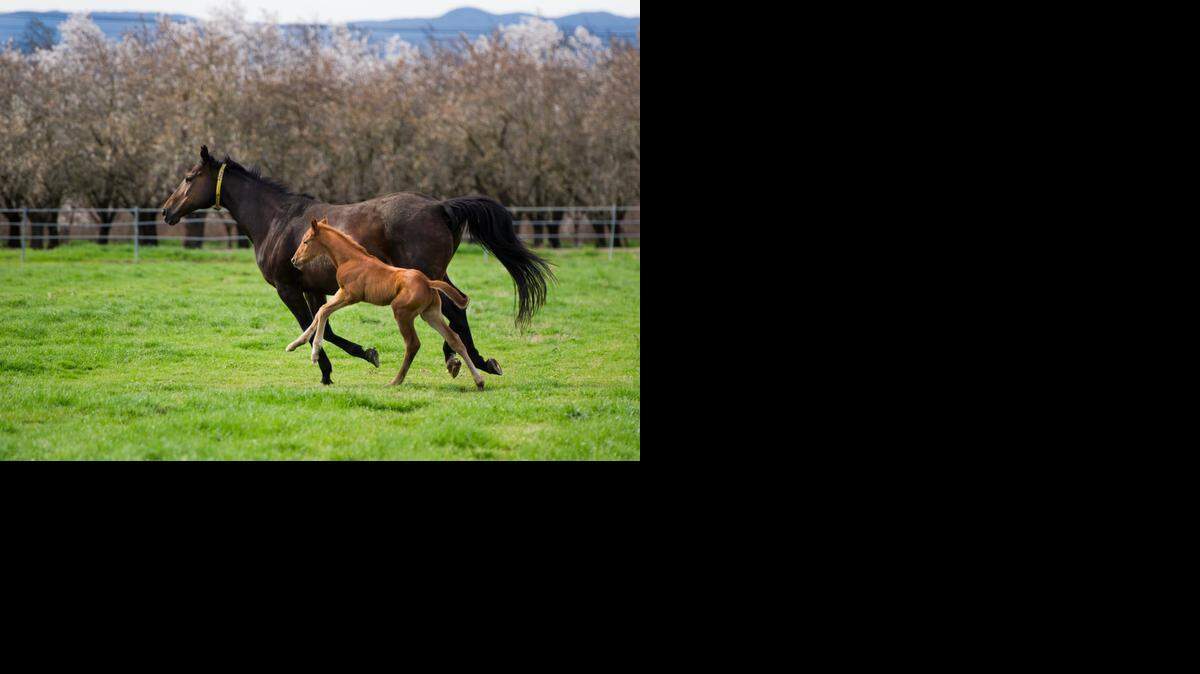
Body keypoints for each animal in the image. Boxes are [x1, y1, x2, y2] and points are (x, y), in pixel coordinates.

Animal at [288, 217, 485, 390]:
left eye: (306, 241)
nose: (294, 260)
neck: (351, 259)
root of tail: (428, 282)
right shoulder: (340, 293)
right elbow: (320, 313)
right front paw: (294, 344)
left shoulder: (350, 296)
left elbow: (323, 312)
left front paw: (314, 354)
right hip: (431, 314)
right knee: (455, 339)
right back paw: (479, 381)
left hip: (402, 313)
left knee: (413, 344)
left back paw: (396, 381)